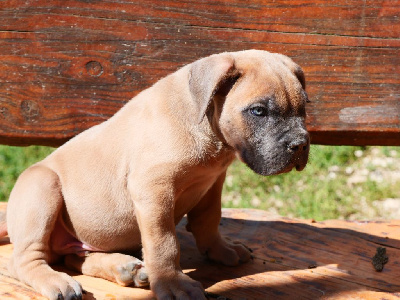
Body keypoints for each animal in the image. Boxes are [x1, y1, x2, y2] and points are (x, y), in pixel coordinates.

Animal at [1, 50, 310, 298]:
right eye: (258, 111)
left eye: (304, 108)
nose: (300, 144)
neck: (207, 130)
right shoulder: (154, 191)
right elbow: (164, 243)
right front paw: (173, 284)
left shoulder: (212, 184)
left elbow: (209, 220)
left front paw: (220, 249)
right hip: (42, 187)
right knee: (24, 260)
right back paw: (58, 282)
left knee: (74, 258)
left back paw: (125, 268)